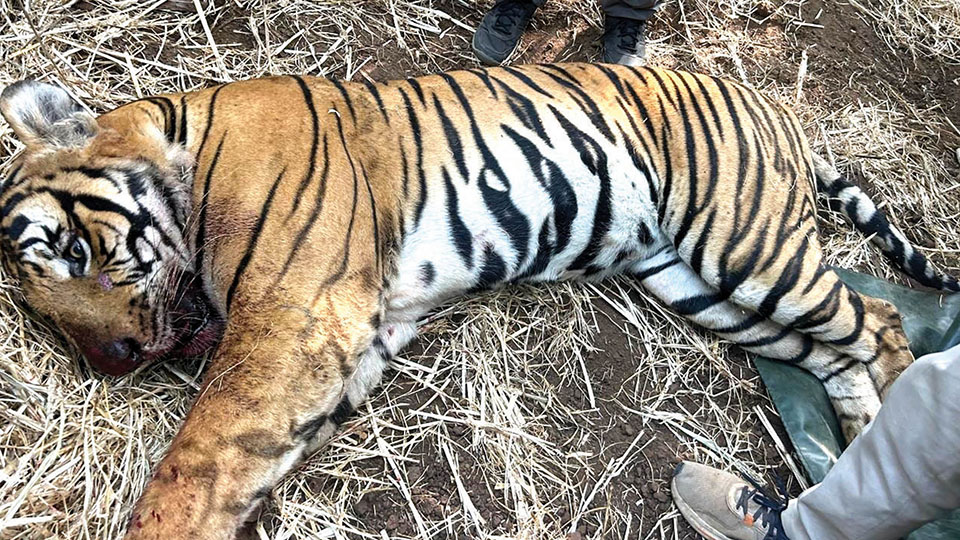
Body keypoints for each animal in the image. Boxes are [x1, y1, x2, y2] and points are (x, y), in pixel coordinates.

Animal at [1, 63, 957, 539]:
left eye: (76, 254)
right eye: (43, 312)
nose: (111, 362)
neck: (187, 149)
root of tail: (777, 107)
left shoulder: (293, 320)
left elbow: (197, 460)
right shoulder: (352, 337)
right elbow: (249, 458)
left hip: (745, 245)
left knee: (880, 323)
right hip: (702, 287)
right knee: (838, 349)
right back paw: (852, 439)